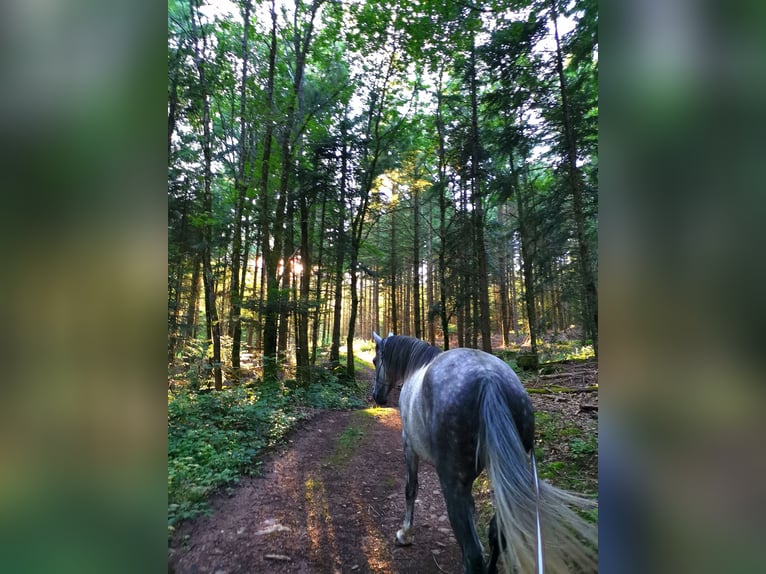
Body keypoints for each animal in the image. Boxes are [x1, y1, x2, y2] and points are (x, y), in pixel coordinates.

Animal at [372, 332, 600, 574]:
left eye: (376, 361)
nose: (377, 396)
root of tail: (489, 379)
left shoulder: (408, 445)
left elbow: (410, 489)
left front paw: (405, 534)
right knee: (497, 533)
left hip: (452, 483)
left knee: (473, 554)